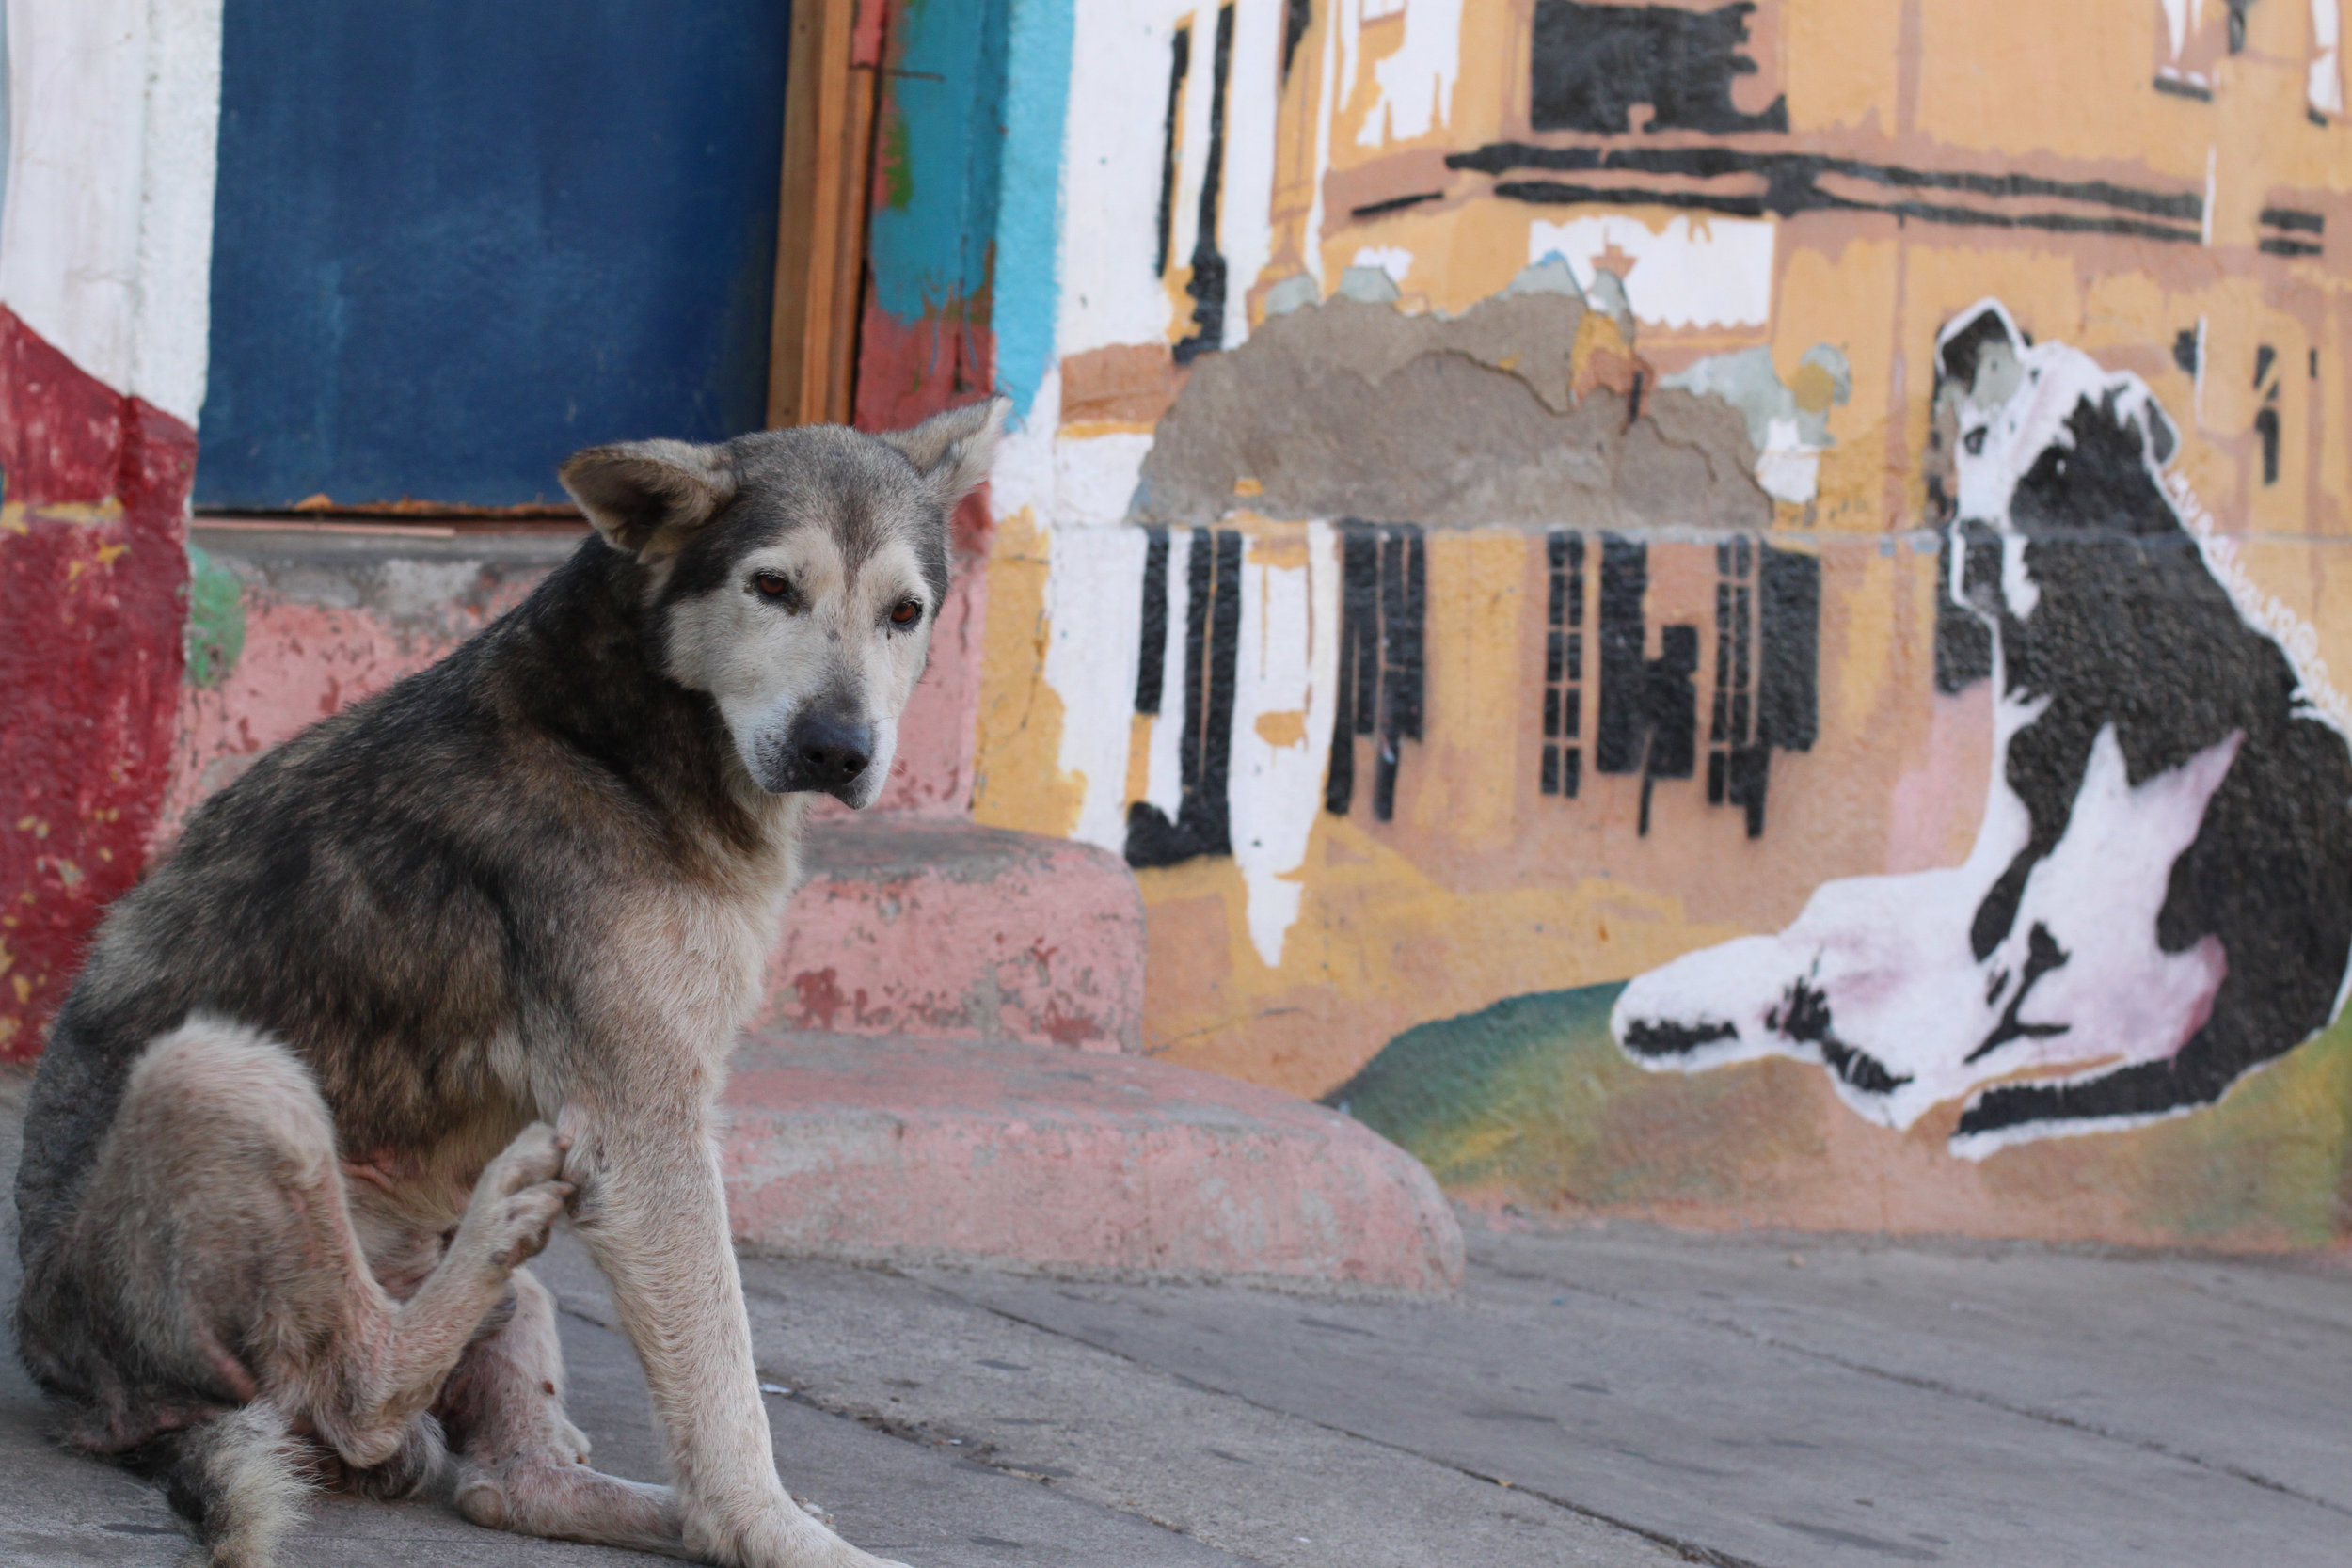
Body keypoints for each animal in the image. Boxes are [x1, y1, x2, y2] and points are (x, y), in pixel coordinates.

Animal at [11, 399, 1002, 1560]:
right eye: (771, 588)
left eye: (905, 612)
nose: (838, 749)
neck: (622, 738)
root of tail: (99, 1404)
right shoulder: (644, 1129)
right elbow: (725, 1383)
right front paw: (774, 1530)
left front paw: (758, 1522)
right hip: (222, 1070)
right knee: (353, 1392)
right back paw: (487, 1244)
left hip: (511, 1304)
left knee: (506, 1484)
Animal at [1609, 303, 2352, 1151]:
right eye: (1973, 441)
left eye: (2058, 465)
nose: (1980, 544)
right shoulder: (2016, 815)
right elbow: (1949, 923)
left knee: (2111, 1034)